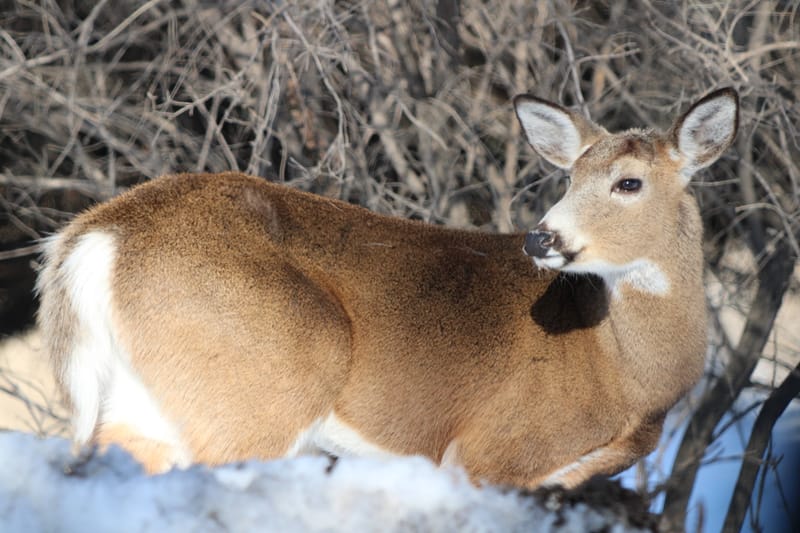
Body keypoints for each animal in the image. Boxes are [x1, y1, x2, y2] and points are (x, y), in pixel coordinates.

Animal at [36, 88, 738, 489]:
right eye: (569, 178)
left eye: (628, 182)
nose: (540, 238)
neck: (627, 375)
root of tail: (93, 237)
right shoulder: (488, 453)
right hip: (258, 388)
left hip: (138, 405)